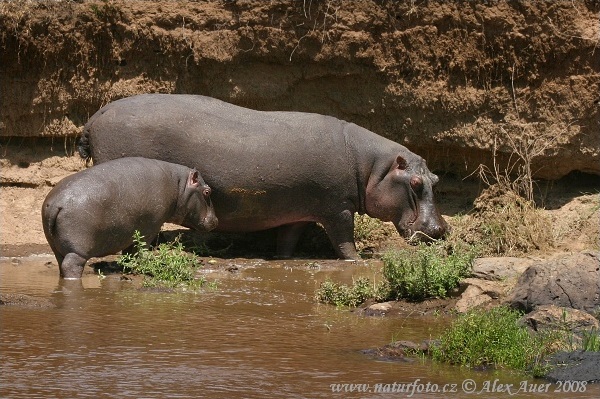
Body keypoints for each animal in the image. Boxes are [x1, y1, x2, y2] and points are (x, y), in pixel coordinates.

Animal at [43, 158, 219, 280]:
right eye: (207, 191)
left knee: (60, 262)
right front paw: (144, 265)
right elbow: (141, 250)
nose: (216, 220)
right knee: (71, 265)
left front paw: (128, 268)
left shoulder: (131, 231)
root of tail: (56, 203)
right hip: (77, 251)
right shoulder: (151, 227)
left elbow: (129, 252)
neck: (179, 186)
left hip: (56, 246)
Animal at [78, 94, 446, 260]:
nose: (441, 229)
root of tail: (94, 116)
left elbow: (289, 238)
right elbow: (344, 238)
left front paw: (282, 259)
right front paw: (357, 261)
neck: (372, 167)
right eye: (415, 184)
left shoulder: (301, 211)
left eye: (436, 179)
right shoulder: (338, 207)